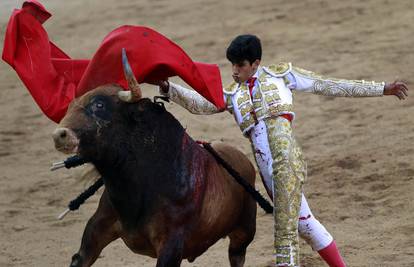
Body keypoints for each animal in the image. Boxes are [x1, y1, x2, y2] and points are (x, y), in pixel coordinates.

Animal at [52, 50, 258, 267]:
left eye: (99, 105)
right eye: (70, 107)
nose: (59, 135)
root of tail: (243, 159)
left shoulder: (171, 244)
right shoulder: (96, 230)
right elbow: (79, 259)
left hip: (244, 232)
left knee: (237, 255)